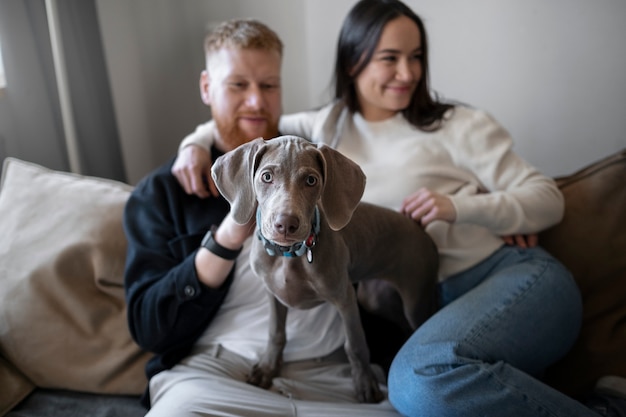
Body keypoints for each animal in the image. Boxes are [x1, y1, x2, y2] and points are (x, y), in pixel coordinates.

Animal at [212, 135, 436, 402]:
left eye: (311, 180)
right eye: (266, 177)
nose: (285, 224)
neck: (289, 255)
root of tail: (422, 231)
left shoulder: (345, 297)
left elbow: (355, 344)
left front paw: (365, 385)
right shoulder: (273, 293)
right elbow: (276, 333)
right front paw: (267, 369)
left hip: (415, 298)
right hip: (374, 296)